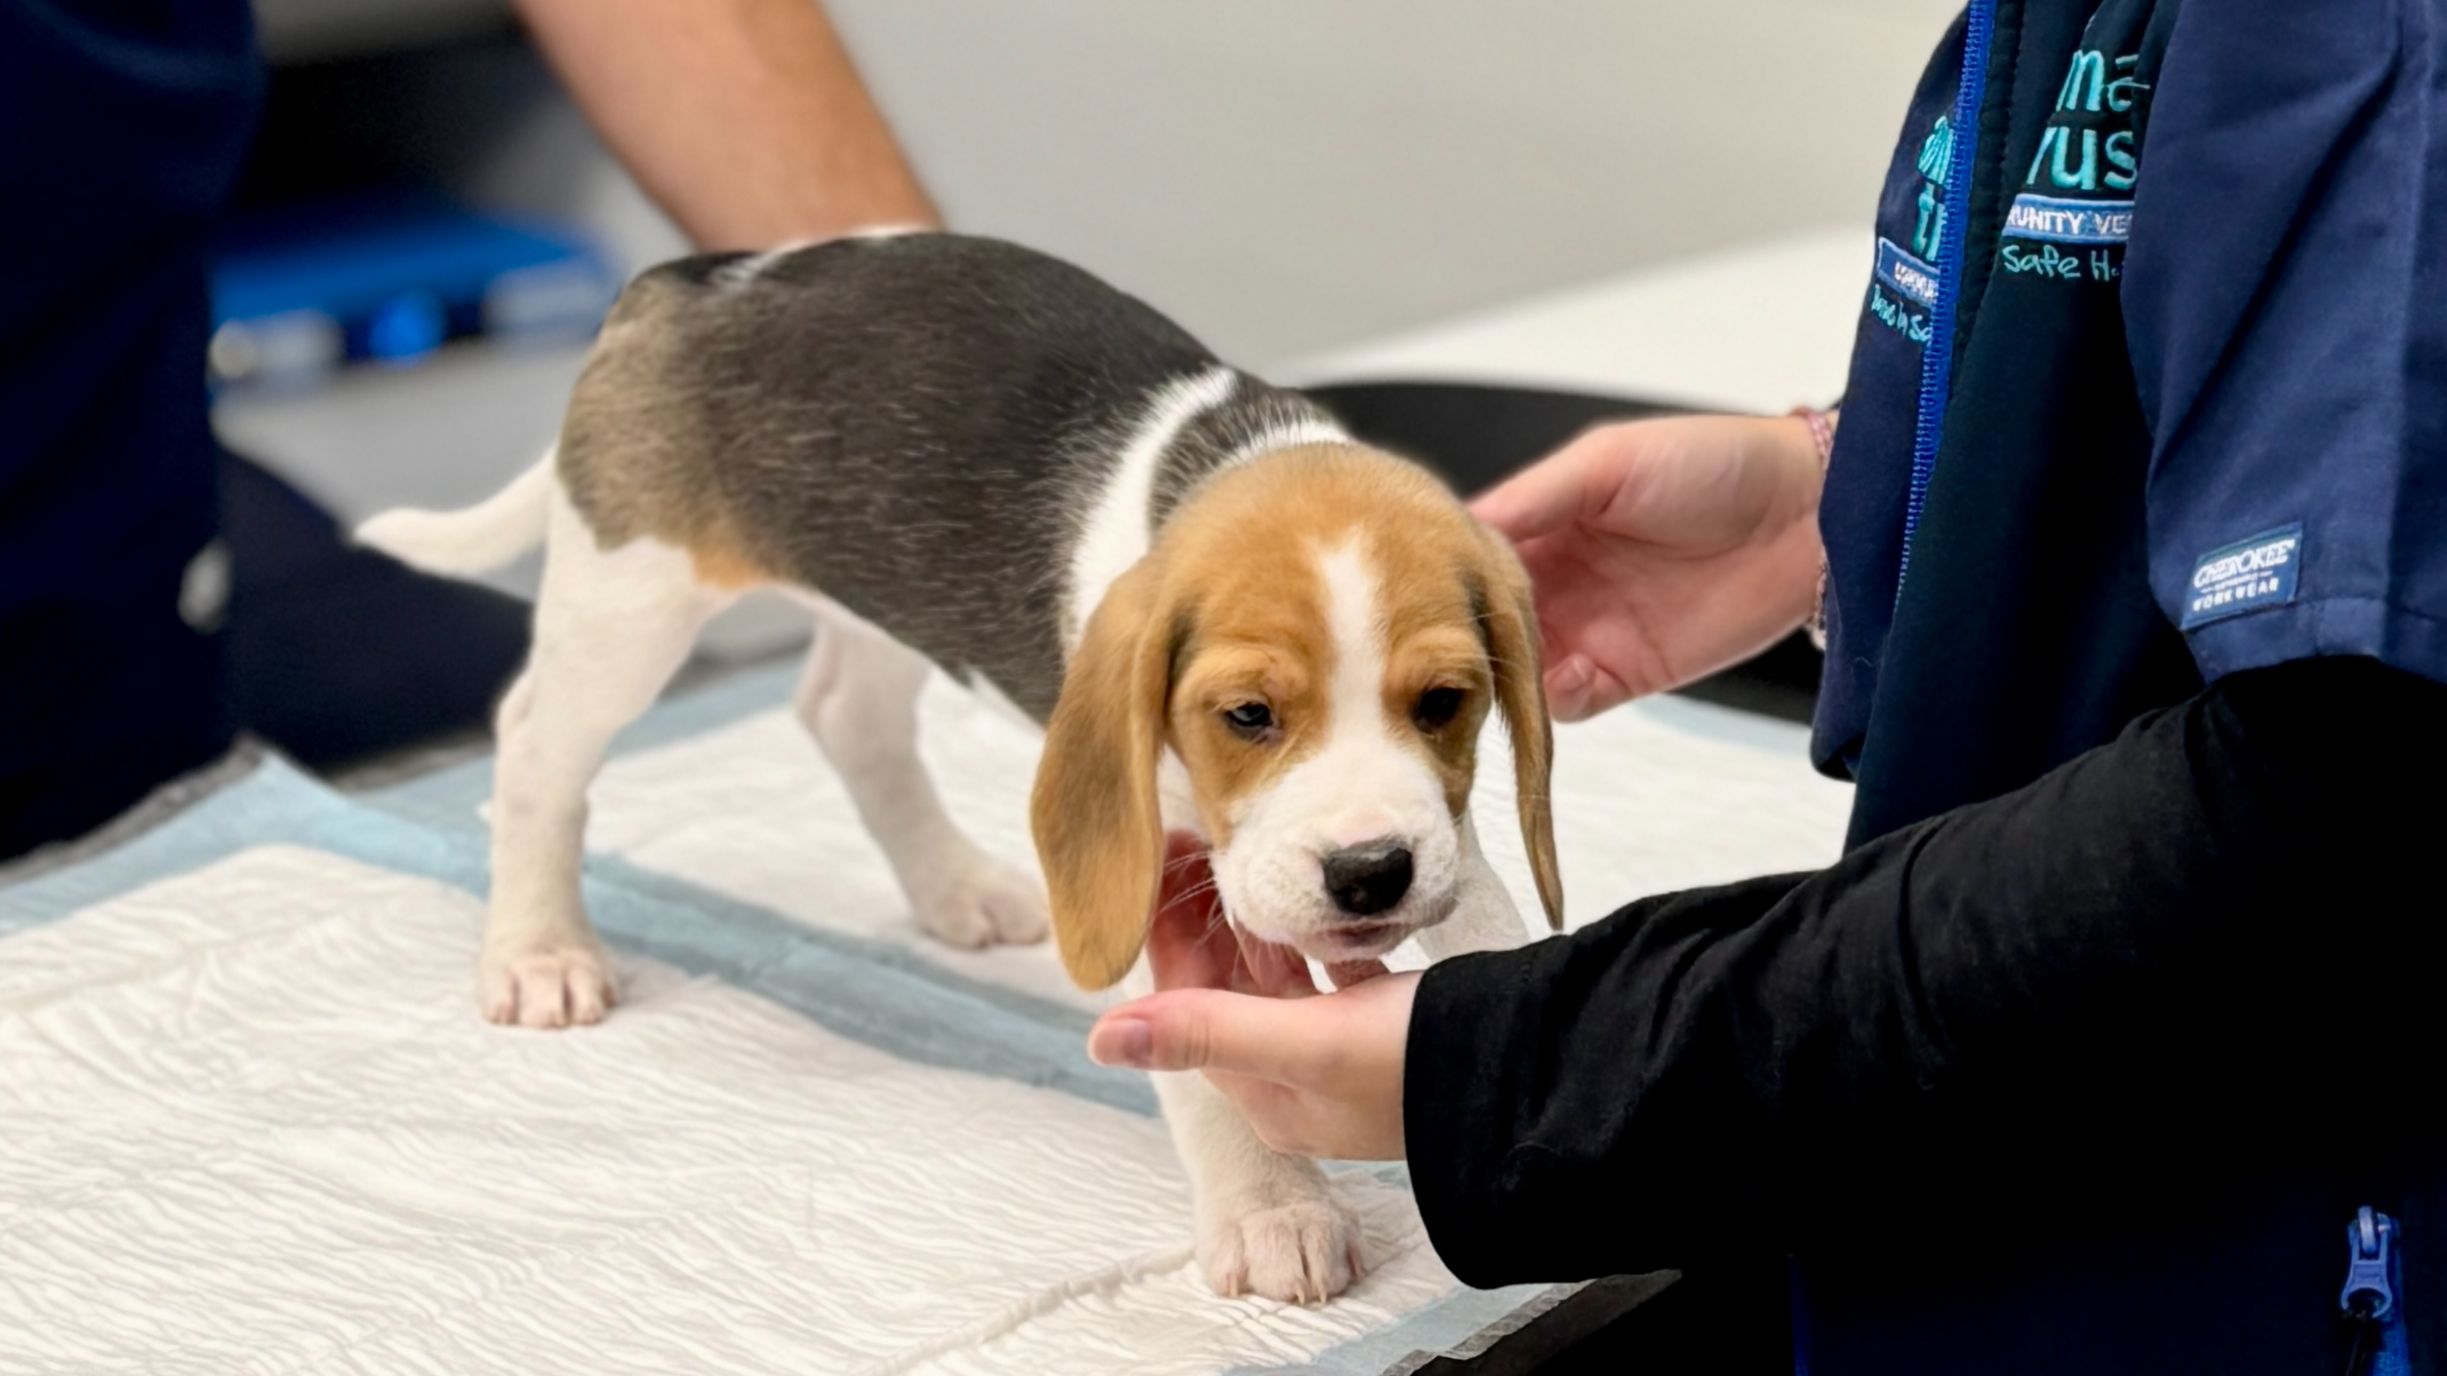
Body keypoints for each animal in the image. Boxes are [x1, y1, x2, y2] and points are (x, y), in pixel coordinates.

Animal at [354, 230, 1556, 1302]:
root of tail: (688, 279)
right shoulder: (1138, 855)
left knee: (845, 714)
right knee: (532, 744)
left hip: (879, 592)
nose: (1368, 873)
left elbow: (1480, 918)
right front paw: (1272, 1209)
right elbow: (1204, 1064)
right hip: (628, 601)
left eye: (1443, 704)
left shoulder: (1448, 836)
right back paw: (538, 948)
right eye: (1248, 715)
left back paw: (956, 887)